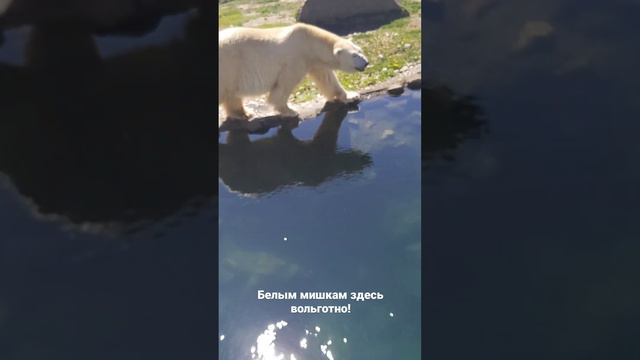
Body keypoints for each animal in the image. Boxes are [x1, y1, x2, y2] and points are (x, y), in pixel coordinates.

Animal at [220, 23, 370, 119]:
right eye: (354, 55)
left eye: (360, 50)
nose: (366, 62)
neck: (308, 41)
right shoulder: (295, 59)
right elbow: (284, 86)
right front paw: (290, 111)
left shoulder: (314, 62)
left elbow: (327, 79)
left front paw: (351, 95)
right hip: (229, 64)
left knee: (231, 94)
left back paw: (244, 113)